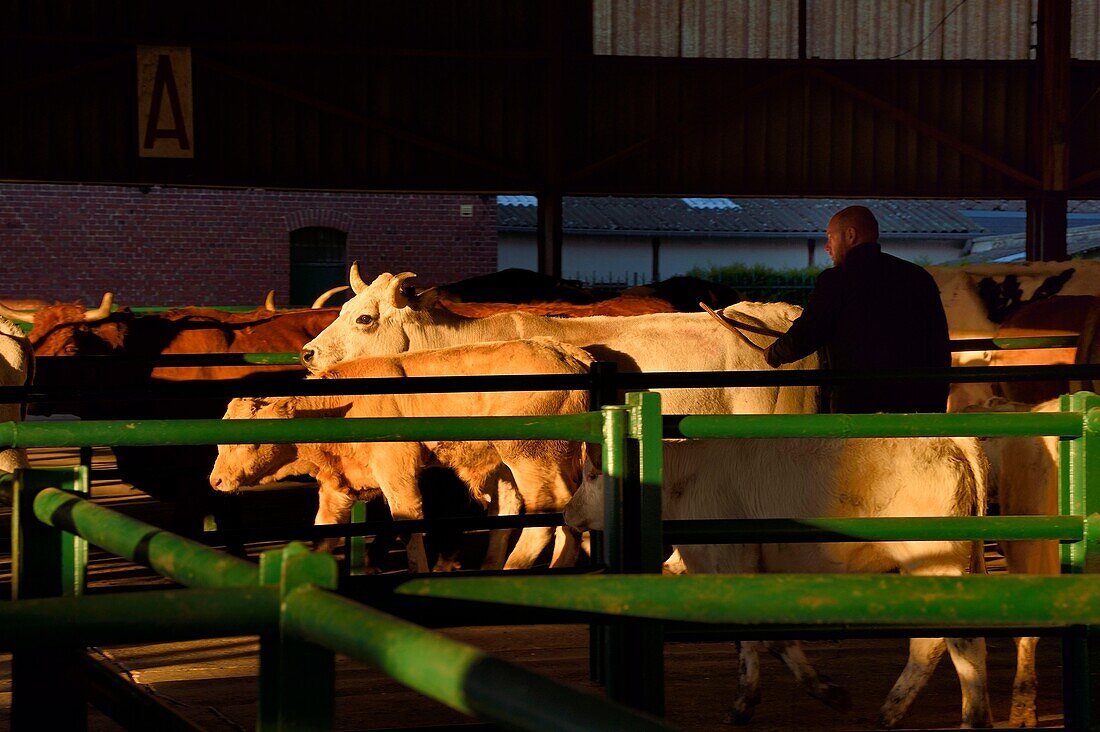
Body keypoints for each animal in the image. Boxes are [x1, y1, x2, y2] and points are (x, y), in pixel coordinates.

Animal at [210, 336, 598, 572]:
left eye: (247, 440)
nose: (216, 480)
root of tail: (569, 353)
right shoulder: (338, 484)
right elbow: (325, 531)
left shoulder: (396, 468)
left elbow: (408, 521)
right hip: (526, 462)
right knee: (544, 508)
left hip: (530, 455)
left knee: (545, 511)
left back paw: (513, 569)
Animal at [563, 435, 994, 726]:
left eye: (591, 475)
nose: (567, 512)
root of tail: (951, 441)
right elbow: (762, 638)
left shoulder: (730, 559)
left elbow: (759, 636)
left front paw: (813, 694)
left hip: (933, 559)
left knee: (953, 639)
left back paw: (947, 715)